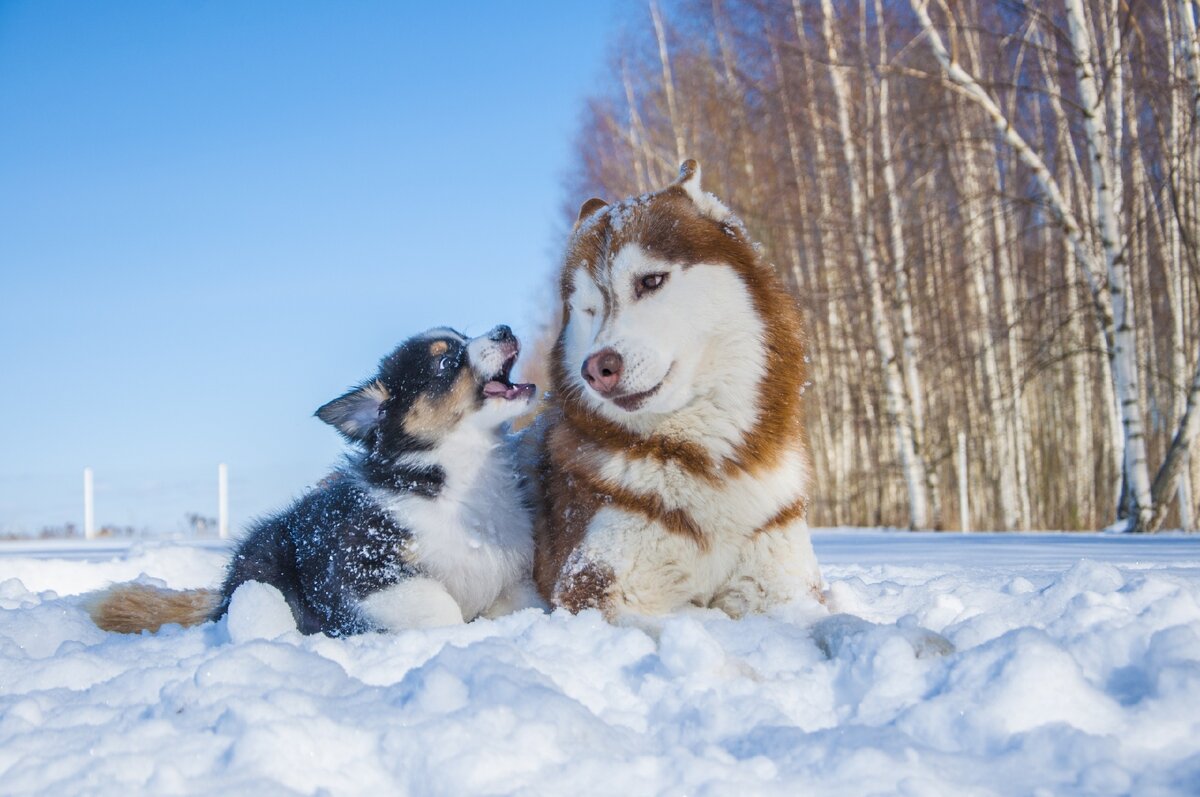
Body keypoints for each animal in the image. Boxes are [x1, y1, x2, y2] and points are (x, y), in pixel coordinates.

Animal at [91, 324, 542, 633]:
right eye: (447, 362)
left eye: (465, 335)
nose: (504, 328)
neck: (455, 473)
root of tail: (221, 595)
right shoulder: (366, 569)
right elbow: (441, 607)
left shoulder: (509, 575)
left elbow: (524, 602)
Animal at [535, 162, 825, 619]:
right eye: (588, 309)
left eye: (651, 281)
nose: (596, 370)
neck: (703, 459)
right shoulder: (596, 590)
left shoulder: (785, 587)